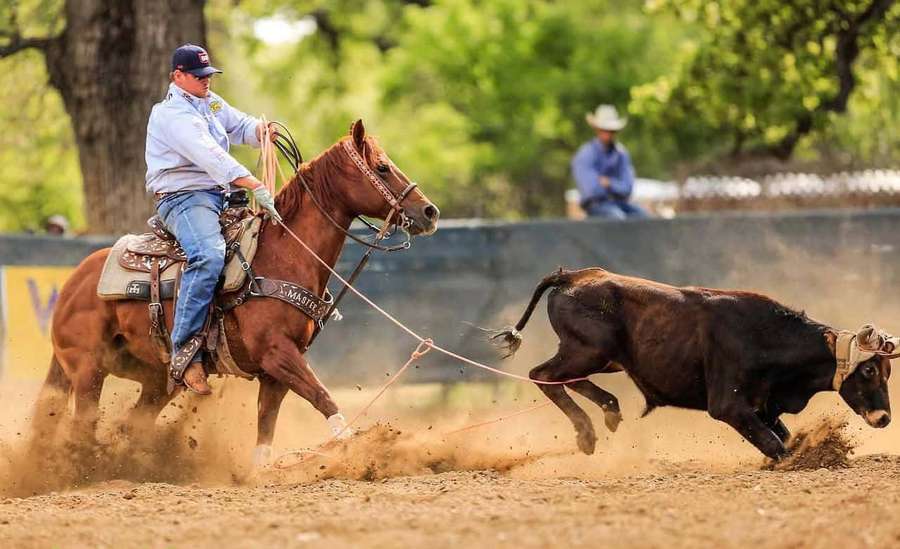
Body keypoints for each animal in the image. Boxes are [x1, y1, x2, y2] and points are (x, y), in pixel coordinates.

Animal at [32, 120, 440, 466]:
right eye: (383, 167)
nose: (429, 212)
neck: (283, 256)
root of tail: (74, 283)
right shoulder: (278, 353)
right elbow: (322, 396)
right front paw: (360, 447)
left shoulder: (276, 370)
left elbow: (267, 422)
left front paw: (258, 471)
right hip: (88, 369)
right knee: (83, 425)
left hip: (157, 379)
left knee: (134, 423)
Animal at [492, 267, 897, 459]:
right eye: (869, 370)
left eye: (887, 371)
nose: (884, 418)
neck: (764, 337)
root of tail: (574, 276)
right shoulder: (729, 406)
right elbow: (774, 445)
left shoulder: (761, 406)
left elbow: (780, 435)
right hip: (588, 350)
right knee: (541, 374)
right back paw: (587, 433)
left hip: (603, 359)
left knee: (566, 379)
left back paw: (609, 410)